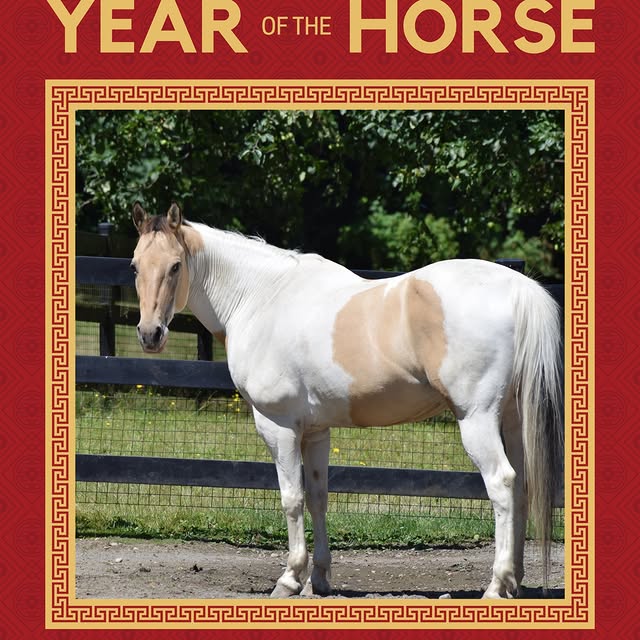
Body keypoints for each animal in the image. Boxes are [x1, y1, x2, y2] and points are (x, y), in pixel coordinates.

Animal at [130, 202, 564, 599]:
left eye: (175, 266)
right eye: (135, 266)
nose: (150, 335)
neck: (259, 298)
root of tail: (519, 288)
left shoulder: (278, 427)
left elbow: (291, 499)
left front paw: (290, 579)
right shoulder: (316, 431)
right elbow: (318, 497)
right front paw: (318, 579)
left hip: (477, 419)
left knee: (502, 485)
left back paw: (496, 585)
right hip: (510, 421)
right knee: (522, 488)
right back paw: (515, 582)